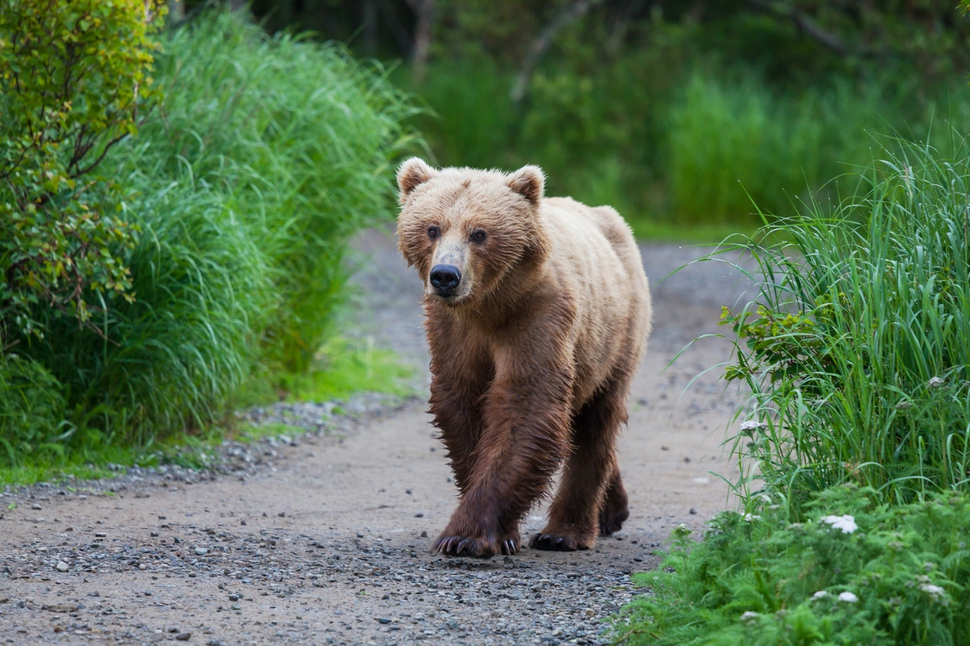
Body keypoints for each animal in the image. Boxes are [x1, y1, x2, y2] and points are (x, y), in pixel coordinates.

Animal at [394, 159, 652, 560]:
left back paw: (565, 532)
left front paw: (465, 536)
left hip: (615, 335)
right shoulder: (451, 332)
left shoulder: (537, 317)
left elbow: (525, 405)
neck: (487, 307)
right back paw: (612, 510)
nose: (445, 276)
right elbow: (461, 406)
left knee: (597, 424)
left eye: (479, 233)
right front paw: (501, 532)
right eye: (431, 228)